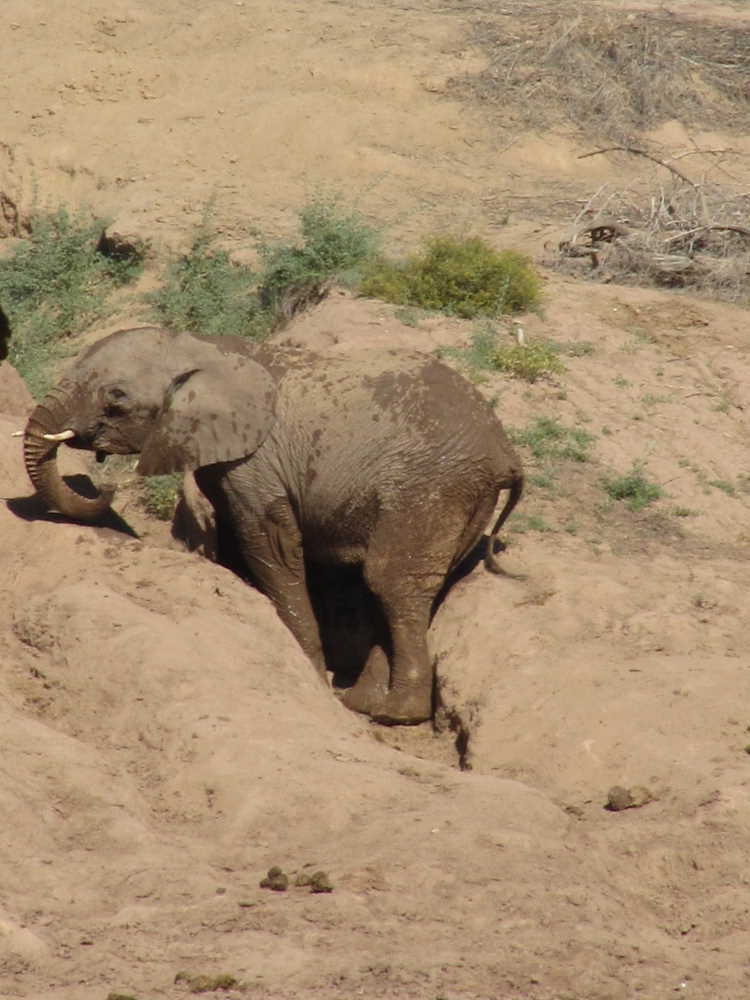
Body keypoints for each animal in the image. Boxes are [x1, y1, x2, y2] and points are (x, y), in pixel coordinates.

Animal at [22, 328, 524, 728]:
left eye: (116, 398)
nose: (101, 484)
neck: (202, 346)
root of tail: (505, 451)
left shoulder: (256, 461)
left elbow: (269, 544)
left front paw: (309, 671)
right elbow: (234, 542)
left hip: (431, 486)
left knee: (391, 581)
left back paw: (394, 714)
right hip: (465, 499)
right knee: (390, 588)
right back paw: (360, 703)